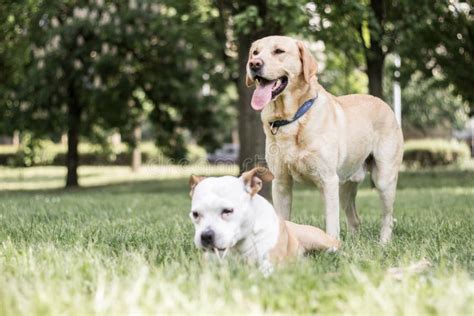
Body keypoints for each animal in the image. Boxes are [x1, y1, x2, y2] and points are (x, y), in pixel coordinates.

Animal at [244, 36, 404, 244]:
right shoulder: (281, 182)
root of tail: (384, 103)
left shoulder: (327, 181)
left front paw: (332, 246)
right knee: (355, 219)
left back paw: (383, 243)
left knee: (387, 217)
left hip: (383, 178)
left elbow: (331, 224)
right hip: (344, 186)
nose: (254, 64)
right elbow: (283, 219)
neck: (292, 118)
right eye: (255, 52)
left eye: (279, 51)